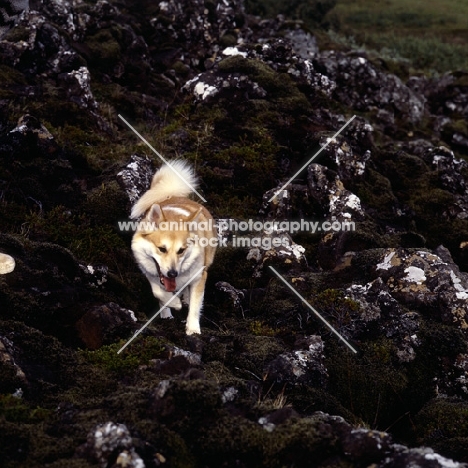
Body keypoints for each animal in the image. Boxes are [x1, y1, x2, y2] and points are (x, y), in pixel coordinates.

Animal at [130, 161, 218, 336]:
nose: (172, 273)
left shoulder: (199, 276)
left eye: (181, 250)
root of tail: (172, 195)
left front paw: (193, 329)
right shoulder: (149, 272)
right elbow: (158, 292)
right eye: (161, 249)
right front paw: (173, 305)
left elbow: (195, 306)